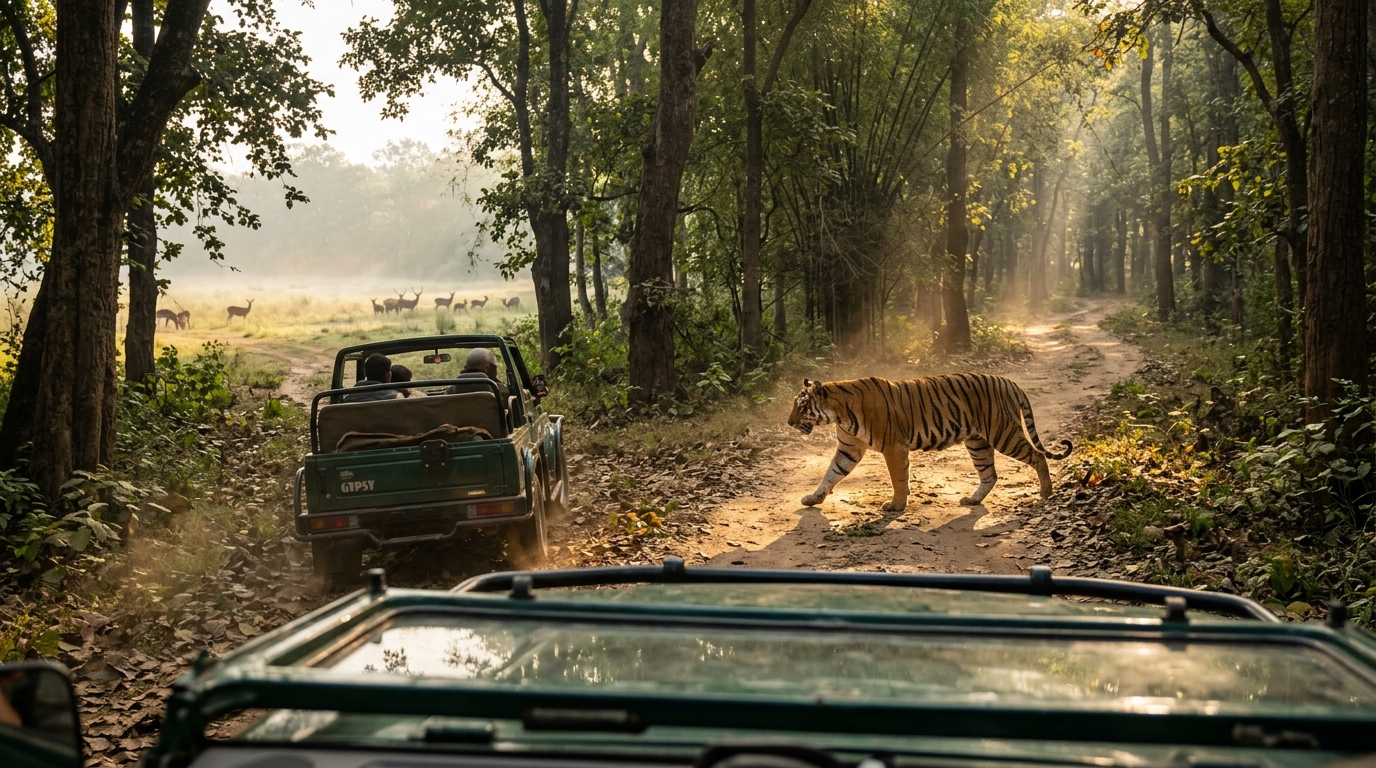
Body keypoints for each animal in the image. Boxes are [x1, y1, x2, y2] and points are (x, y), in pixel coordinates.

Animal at [787, 374, 1072, 511]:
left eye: (801, 406)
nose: (789, 422)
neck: (839, 412)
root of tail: (1010, 382)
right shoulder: (849, 449)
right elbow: (831, 474)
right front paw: (813, 498)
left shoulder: (894, 447)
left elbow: (898, 478)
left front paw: (896, 505)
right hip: (978, 442)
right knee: (989, 474)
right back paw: (972, 500)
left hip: (1003, 432)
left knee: (1037, 456)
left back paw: (1046, 493)